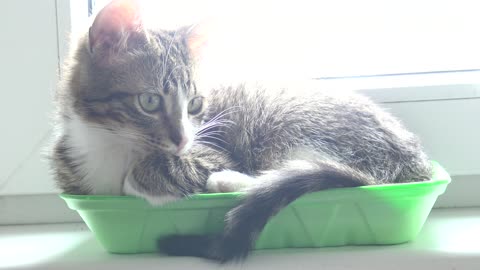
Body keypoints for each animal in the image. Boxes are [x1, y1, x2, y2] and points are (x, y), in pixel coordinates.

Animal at [50, 0, 434, 262]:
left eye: (195, 105)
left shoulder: (212, 153)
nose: (183, 139)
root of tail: (416, 162)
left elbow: (141, 177)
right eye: (149, 101)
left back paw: (227, 182)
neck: (110, 144)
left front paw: (144, 176)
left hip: (296, 126)